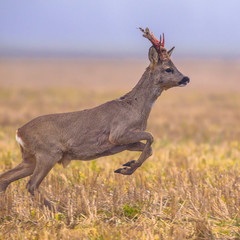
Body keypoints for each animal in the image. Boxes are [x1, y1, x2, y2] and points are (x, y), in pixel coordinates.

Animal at [0, 27, 190, 208]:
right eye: (168, 69)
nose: (186, 78)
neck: (135, 107)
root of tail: (19, 132)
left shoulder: (125, 143)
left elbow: (149, 149)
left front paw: (126, 166)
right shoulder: (118, 134)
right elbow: (151, 137)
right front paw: (126, 169)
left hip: (30, 158)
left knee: (5, 179)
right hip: (48, 153)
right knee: (31, 185)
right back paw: (58, 209)